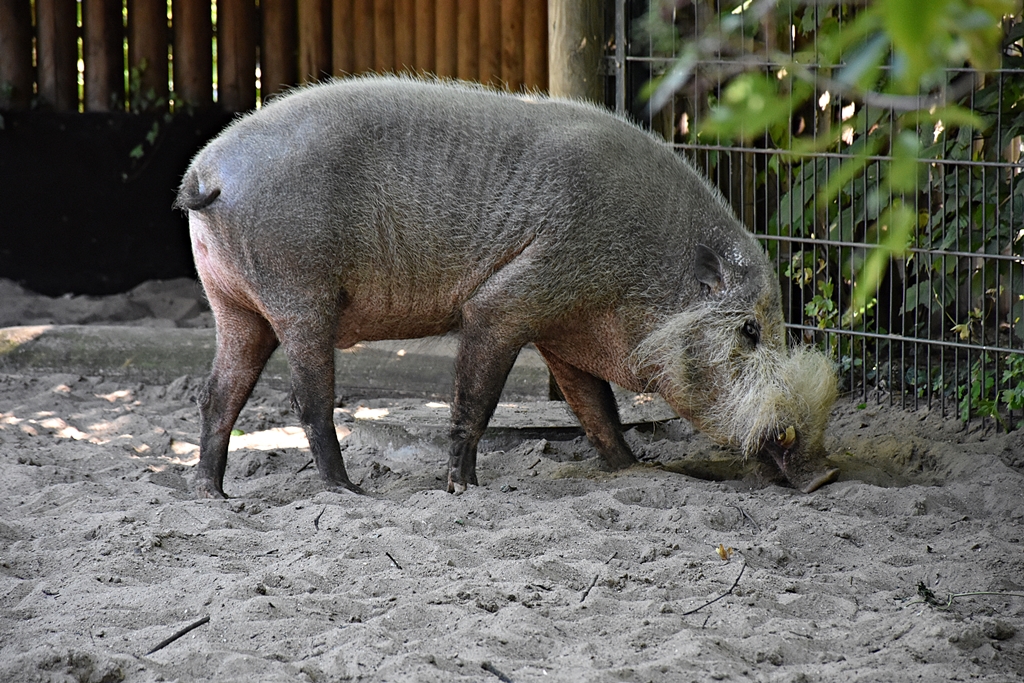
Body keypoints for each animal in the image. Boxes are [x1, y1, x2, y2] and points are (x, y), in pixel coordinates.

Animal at [175, 76, 839, 499]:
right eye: (750, 329)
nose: (826, 475)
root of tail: (205, 174)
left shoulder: (562, 334)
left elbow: (597, 409)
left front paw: (636, 470)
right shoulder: (510, 301)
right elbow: (477, 399)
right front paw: (462, 490)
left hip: (234, 305)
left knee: (218, 393)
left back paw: (212, 495)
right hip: (302, 299)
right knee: (308, 401)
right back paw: (350, 491)